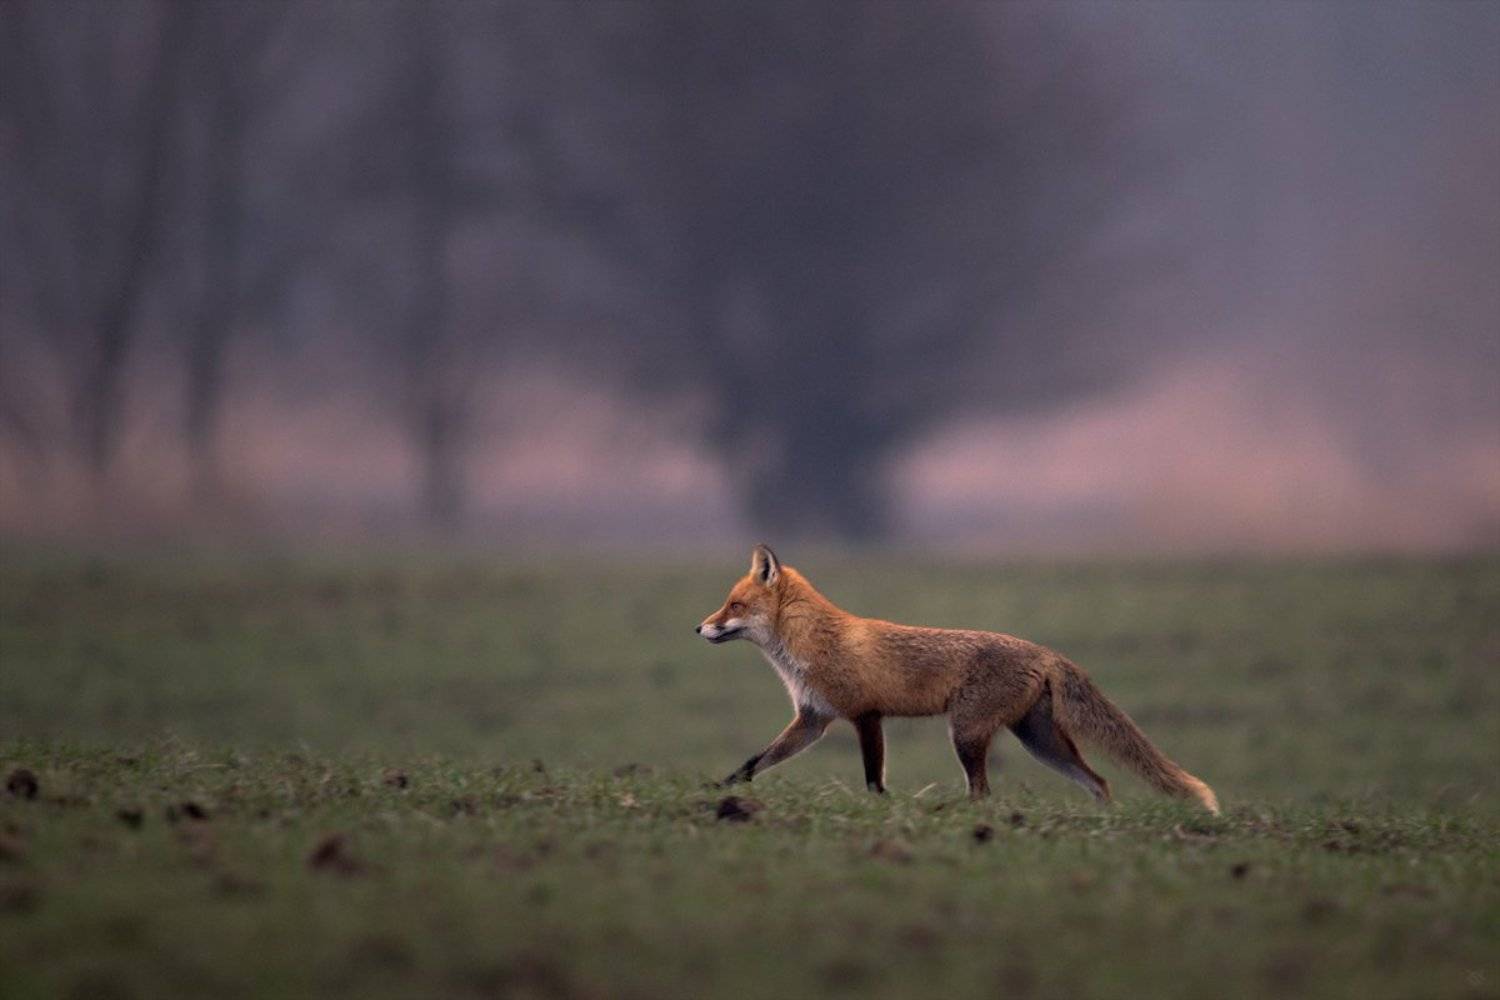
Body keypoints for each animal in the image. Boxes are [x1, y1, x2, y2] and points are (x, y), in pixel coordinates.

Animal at [695, 545, 1219, 813]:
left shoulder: (865, 714)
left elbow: (872, 778)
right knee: (1100, 781)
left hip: (966, 733)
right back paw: (1103, 821)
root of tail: (1044, 651)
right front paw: (718, 791)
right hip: (1040, 741)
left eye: (734, 605)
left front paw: (884, 807)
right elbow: (753, 762)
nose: (699, 628)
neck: (810, 644)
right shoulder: (812, 720)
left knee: (983, 792)